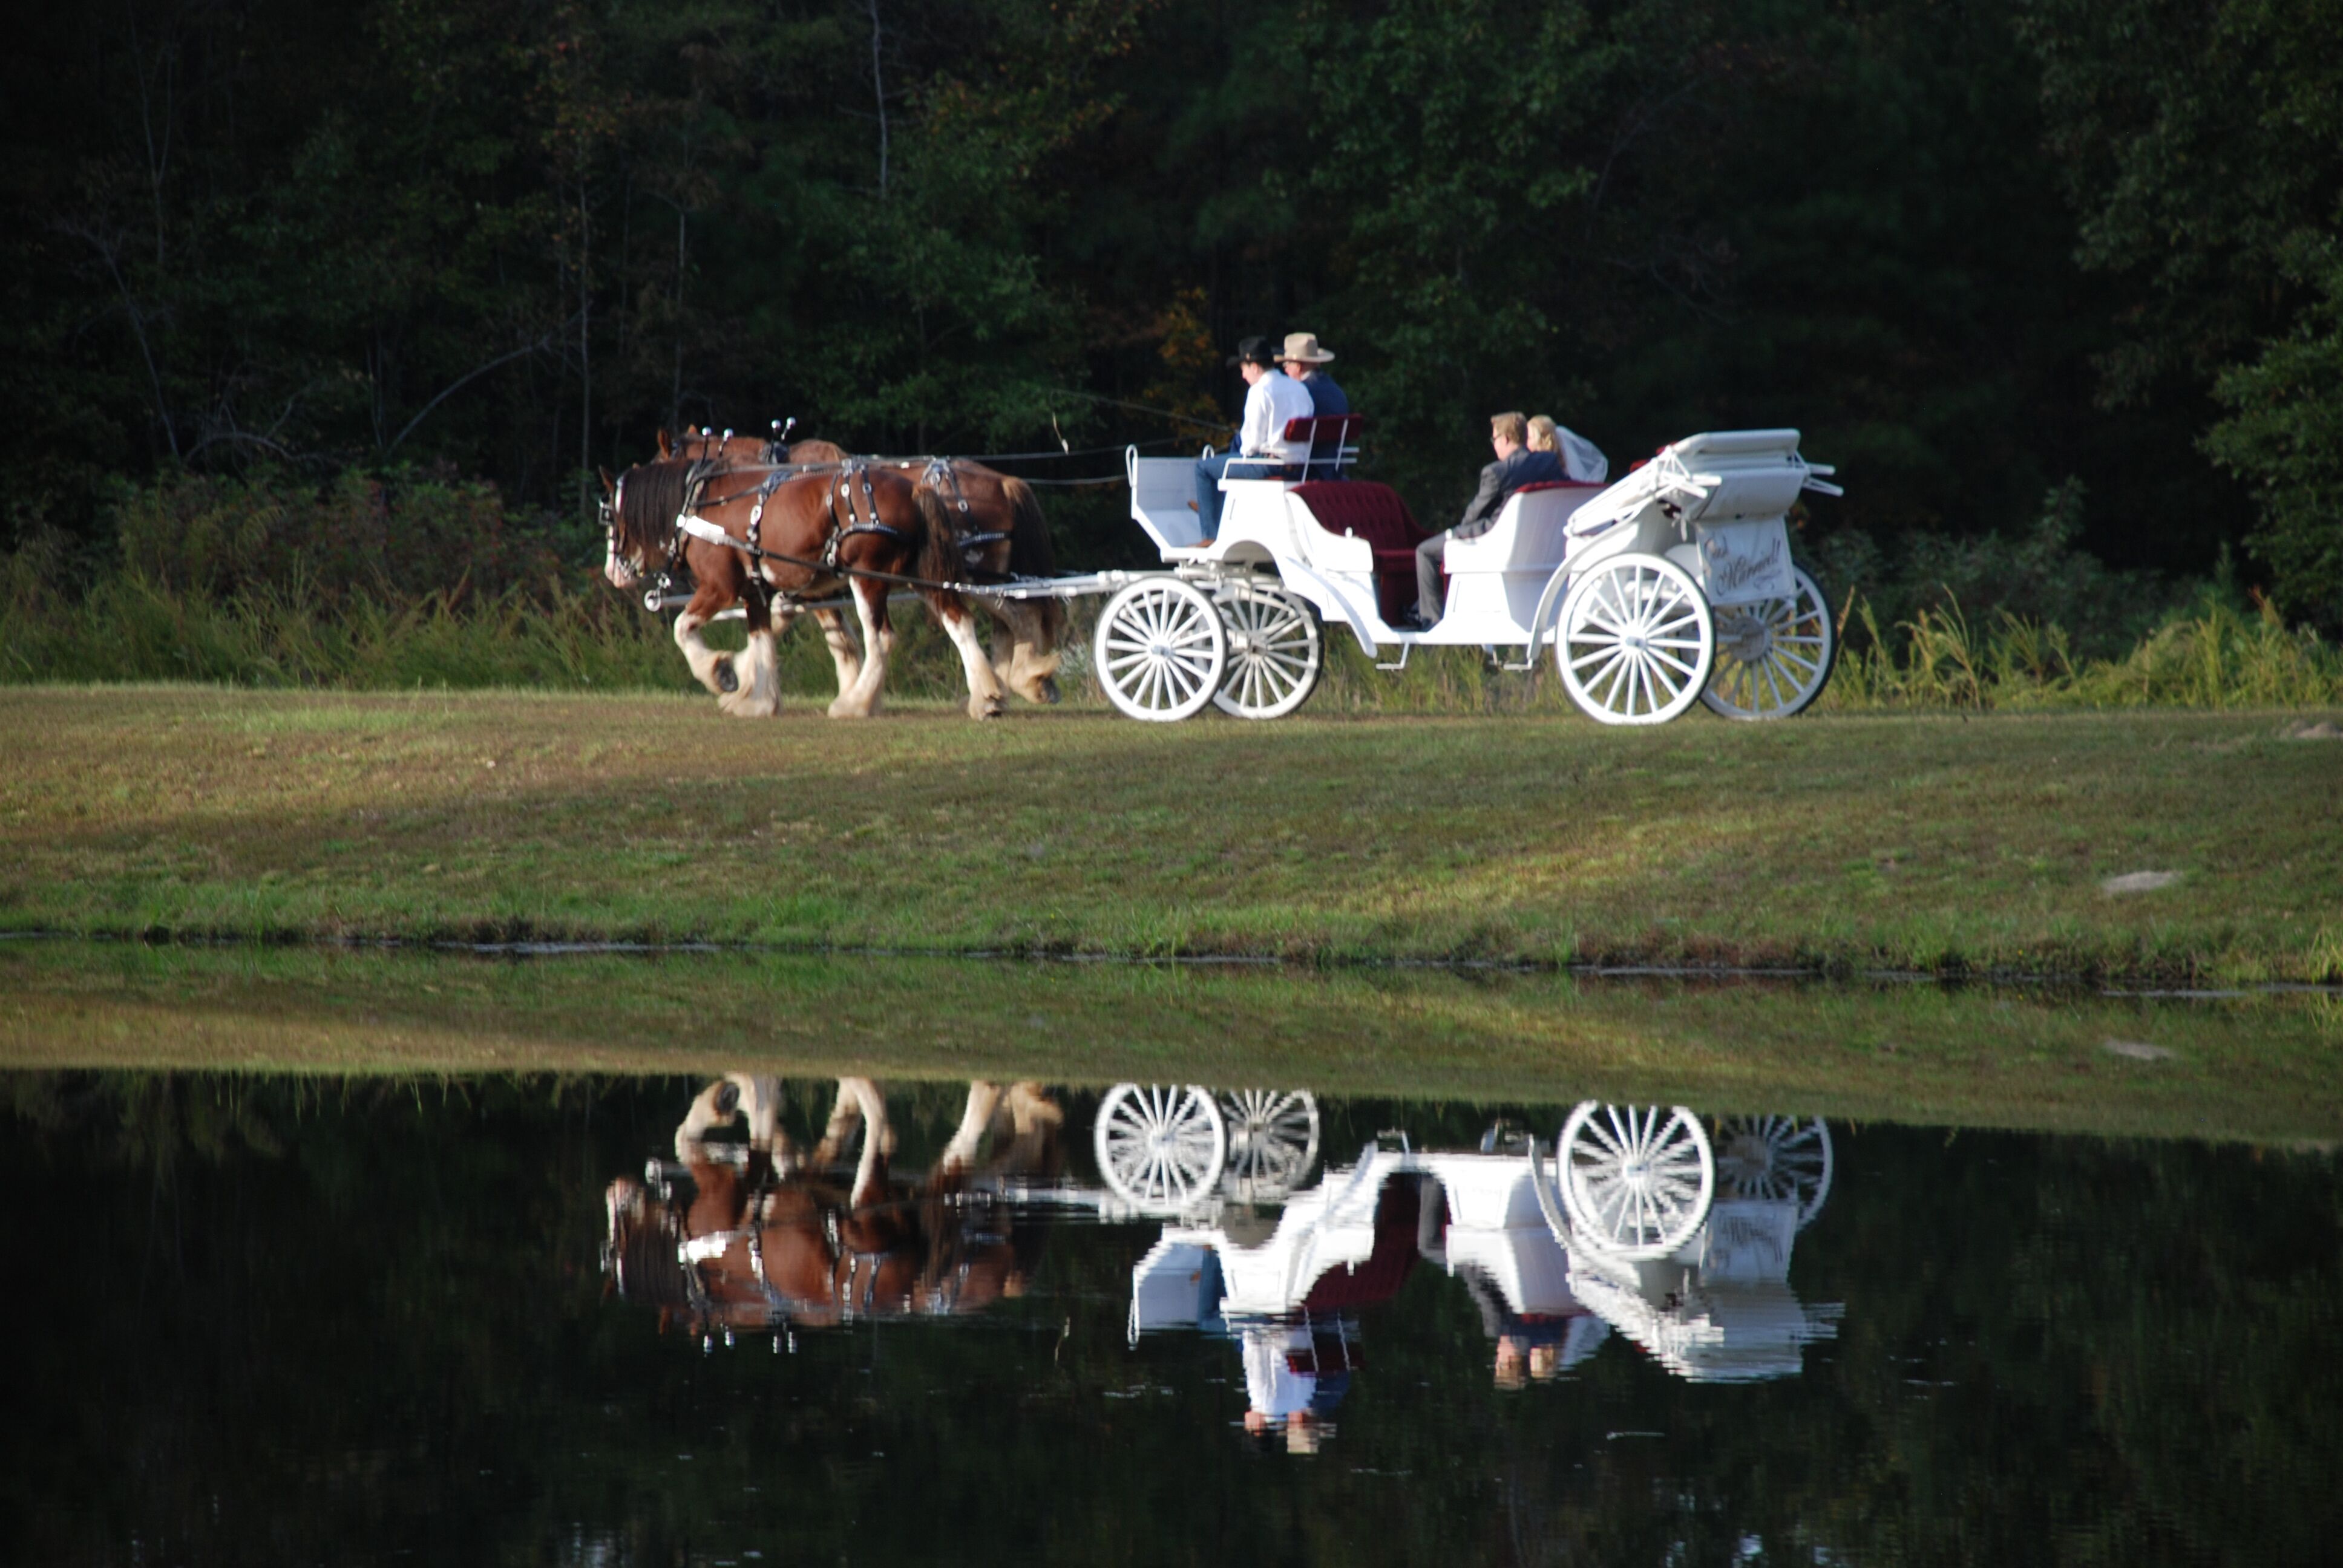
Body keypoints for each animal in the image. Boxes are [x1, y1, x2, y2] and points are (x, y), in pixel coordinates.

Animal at [604, 454, 1007, 717]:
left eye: (609, 516)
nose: (612, 573)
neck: (699, 504)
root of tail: (913, 490)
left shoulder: (720, 587)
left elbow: (682, 628)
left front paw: (719, 673)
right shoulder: (755, 591)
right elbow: (762, 640)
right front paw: (758, 699)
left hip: (868, 578)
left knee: (881, 638)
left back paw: (854, 704)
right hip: (918, 574)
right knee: (959, 621)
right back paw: (987, 698)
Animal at [614, 1078, 1073, 1331]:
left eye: (618, 1242)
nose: (614, 1193)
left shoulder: (721, 1193)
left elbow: (696, 1138)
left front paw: (720, 1102)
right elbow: (802, 1144)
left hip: (877, 1215)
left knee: (915, 1140)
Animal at [660, 422, 1063, 703]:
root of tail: (1005, 482)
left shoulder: (812, 582)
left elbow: (814, 629)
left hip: (970, 575)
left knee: (1014, 617)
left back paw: (1016, 679)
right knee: (1011, 619)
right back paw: (1014, 682)